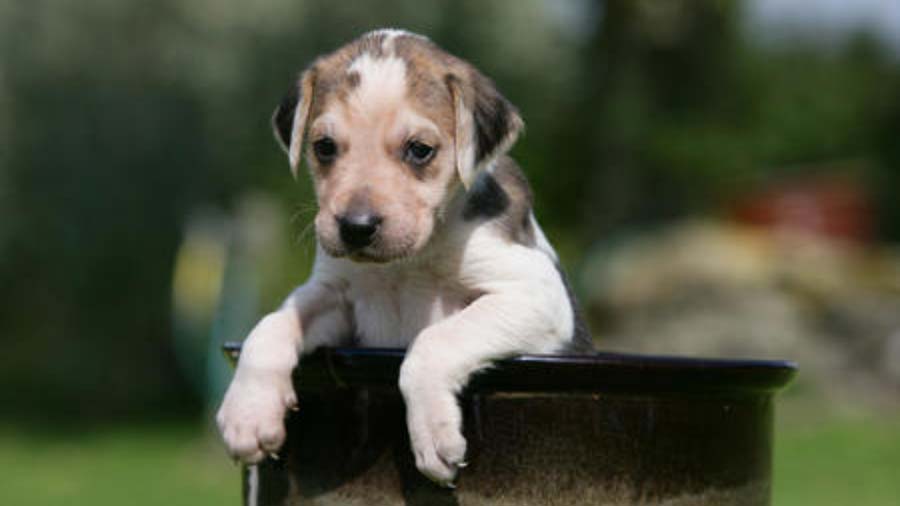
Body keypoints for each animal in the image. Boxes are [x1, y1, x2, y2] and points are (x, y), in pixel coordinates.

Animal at [217, 28, 592, 486]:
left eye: (420, 150)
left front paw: (433, 433)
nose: (356, 227)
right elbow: (271, 325)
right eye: (324, 147)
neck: (405, 265)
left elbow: (433, 341)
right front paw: (247, 413)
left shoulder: (535, 295)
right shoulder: (334, 296)